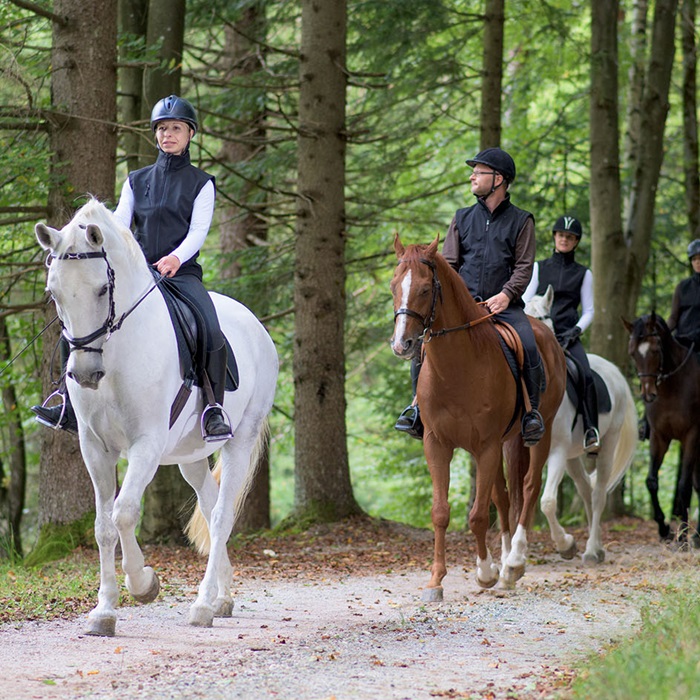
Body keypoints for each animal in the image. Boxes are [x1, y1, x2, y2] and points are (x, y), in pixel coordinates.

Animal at [33, 198, 278, 636]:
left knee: (221, 515)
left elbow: (125, 513)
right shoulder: (95, 448)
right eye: (53, 292)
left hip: (240, 439)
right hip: (190, 457)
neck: (116, 352)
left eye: (102, 288)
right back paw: (222, 597)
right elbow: (103, 526)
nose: (85, 374)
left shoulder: (144, 445)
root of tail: (257, 327)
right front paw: (104, 612)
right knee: (211, 505)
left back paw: (202, 605)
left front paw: (143, 583)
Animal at [392, 234, 568, 596]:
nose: (402, 344)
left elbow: (477, 516)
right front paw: (436, 580)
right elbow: (441, 512)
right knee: (505, 496)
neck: (457, 368)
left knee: (529, 488)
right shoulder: (437, 443)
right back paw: (506, 563)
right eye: (393, 286)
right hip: (506, 442)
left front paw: (486, 573)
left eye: (425, 289)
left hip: (536, 434)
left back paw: (514, 563)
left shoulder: (485, 446)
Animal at [524, 286, 640, 564]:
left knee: (598, 495)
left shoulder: (556, 452)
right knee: (586, 490)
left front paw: (565, 544)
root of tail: (614, 371)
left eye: (542, 318)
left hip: (606, 445)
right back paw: (596, 547)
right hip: (572, 457)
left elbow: (547, 501)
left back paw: (591, 550)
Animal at [624, 314, 700, 548]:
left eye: (656, 350)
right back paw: (696, 536)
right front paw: (664, 529)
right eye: (632, 353)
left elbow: (683, 486)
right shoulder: (659, 437)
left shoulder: (691, 436)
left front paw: (682, 537)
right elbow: (651, 481)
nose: (648, 394)